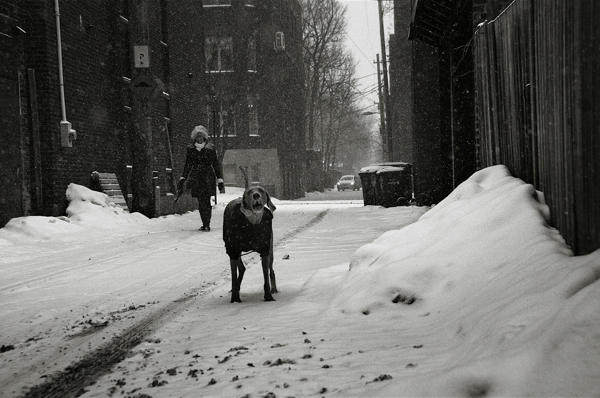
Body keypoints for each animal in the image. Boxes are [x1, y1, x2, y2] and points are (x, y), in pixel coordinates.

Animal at [223, 167, 276, 302]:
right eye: (249, 192)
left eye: (261, 190)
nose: (256, 195)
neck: (252, 222)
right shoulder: (233, 250)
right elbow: (233, 277)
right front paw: (235, 299)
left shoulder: (265, 250)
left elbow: (265, 275)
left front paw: (268, 296)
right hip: (234, 251)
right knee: (241, 269)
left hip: (271, 249)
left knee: (271, 270)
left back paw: (274, 289)